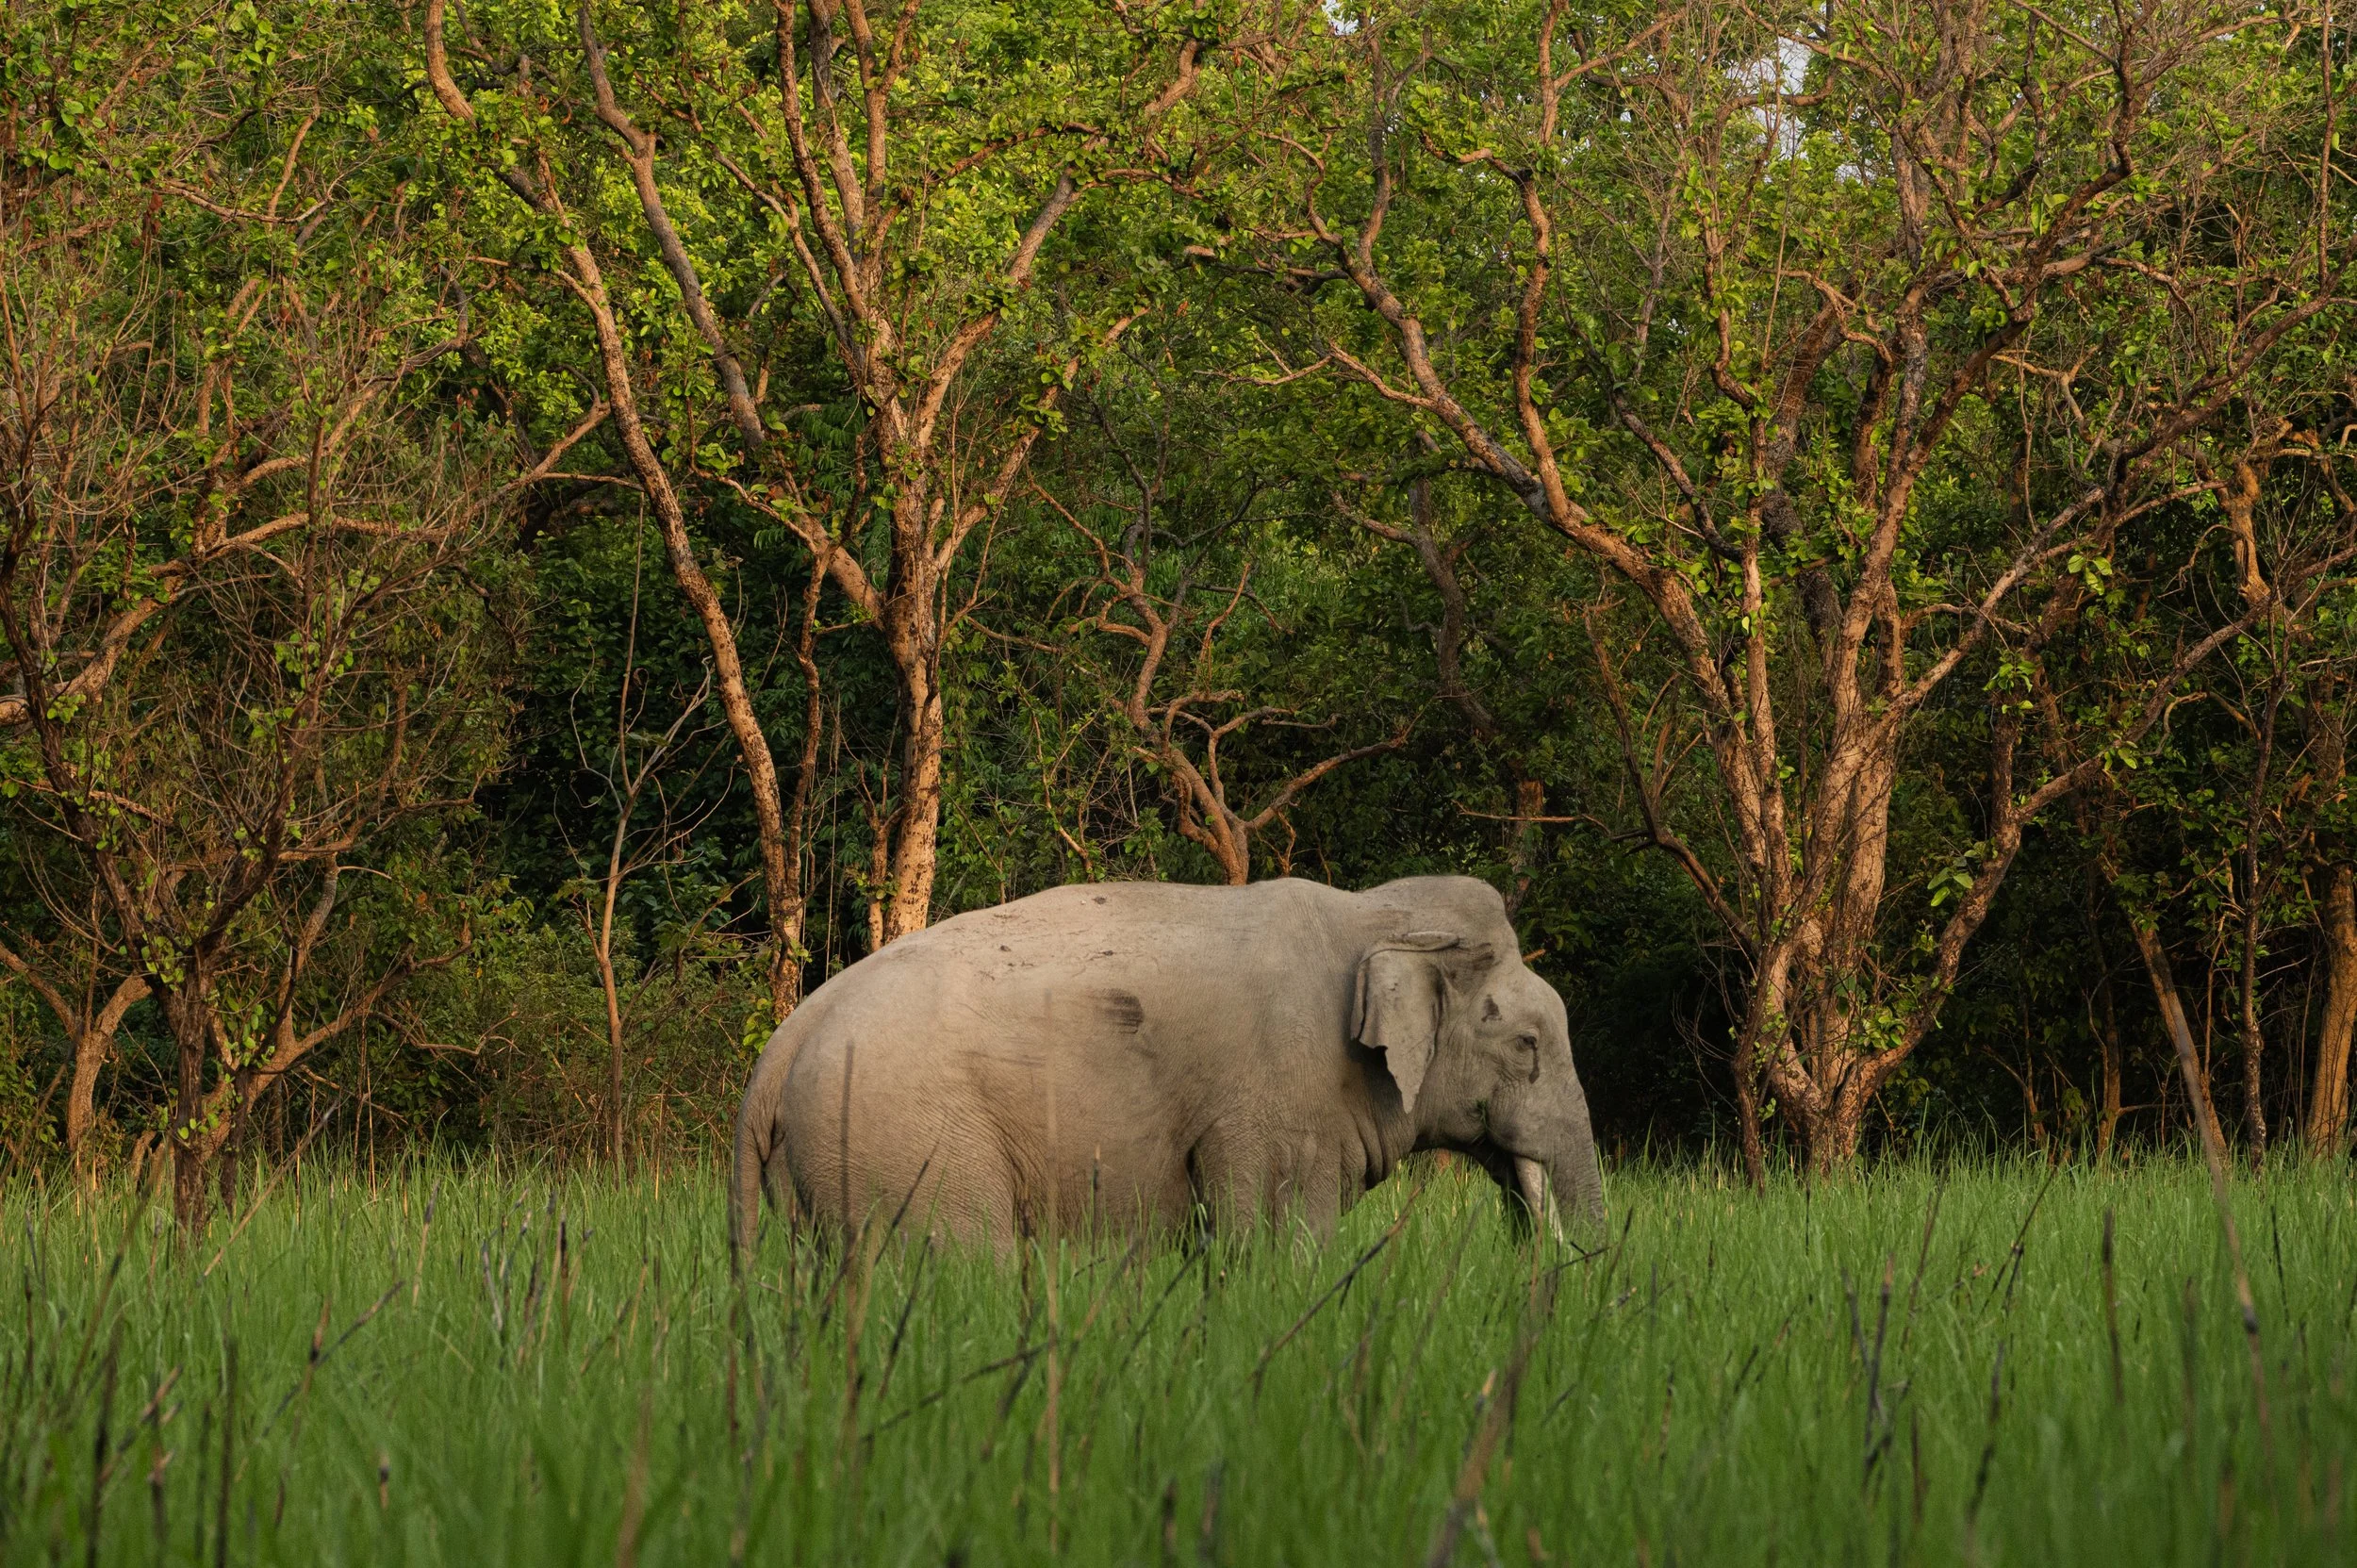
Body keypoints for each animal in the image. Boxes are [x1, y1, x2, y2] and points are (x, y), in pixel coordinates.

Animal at [729, 874, 1604, 1257]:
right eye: (1527, 1043)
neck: (1376, 911)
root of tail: (784, 1041)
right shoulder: (1275, 1109)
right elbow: (1280, 1242)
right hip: (907, 1143)